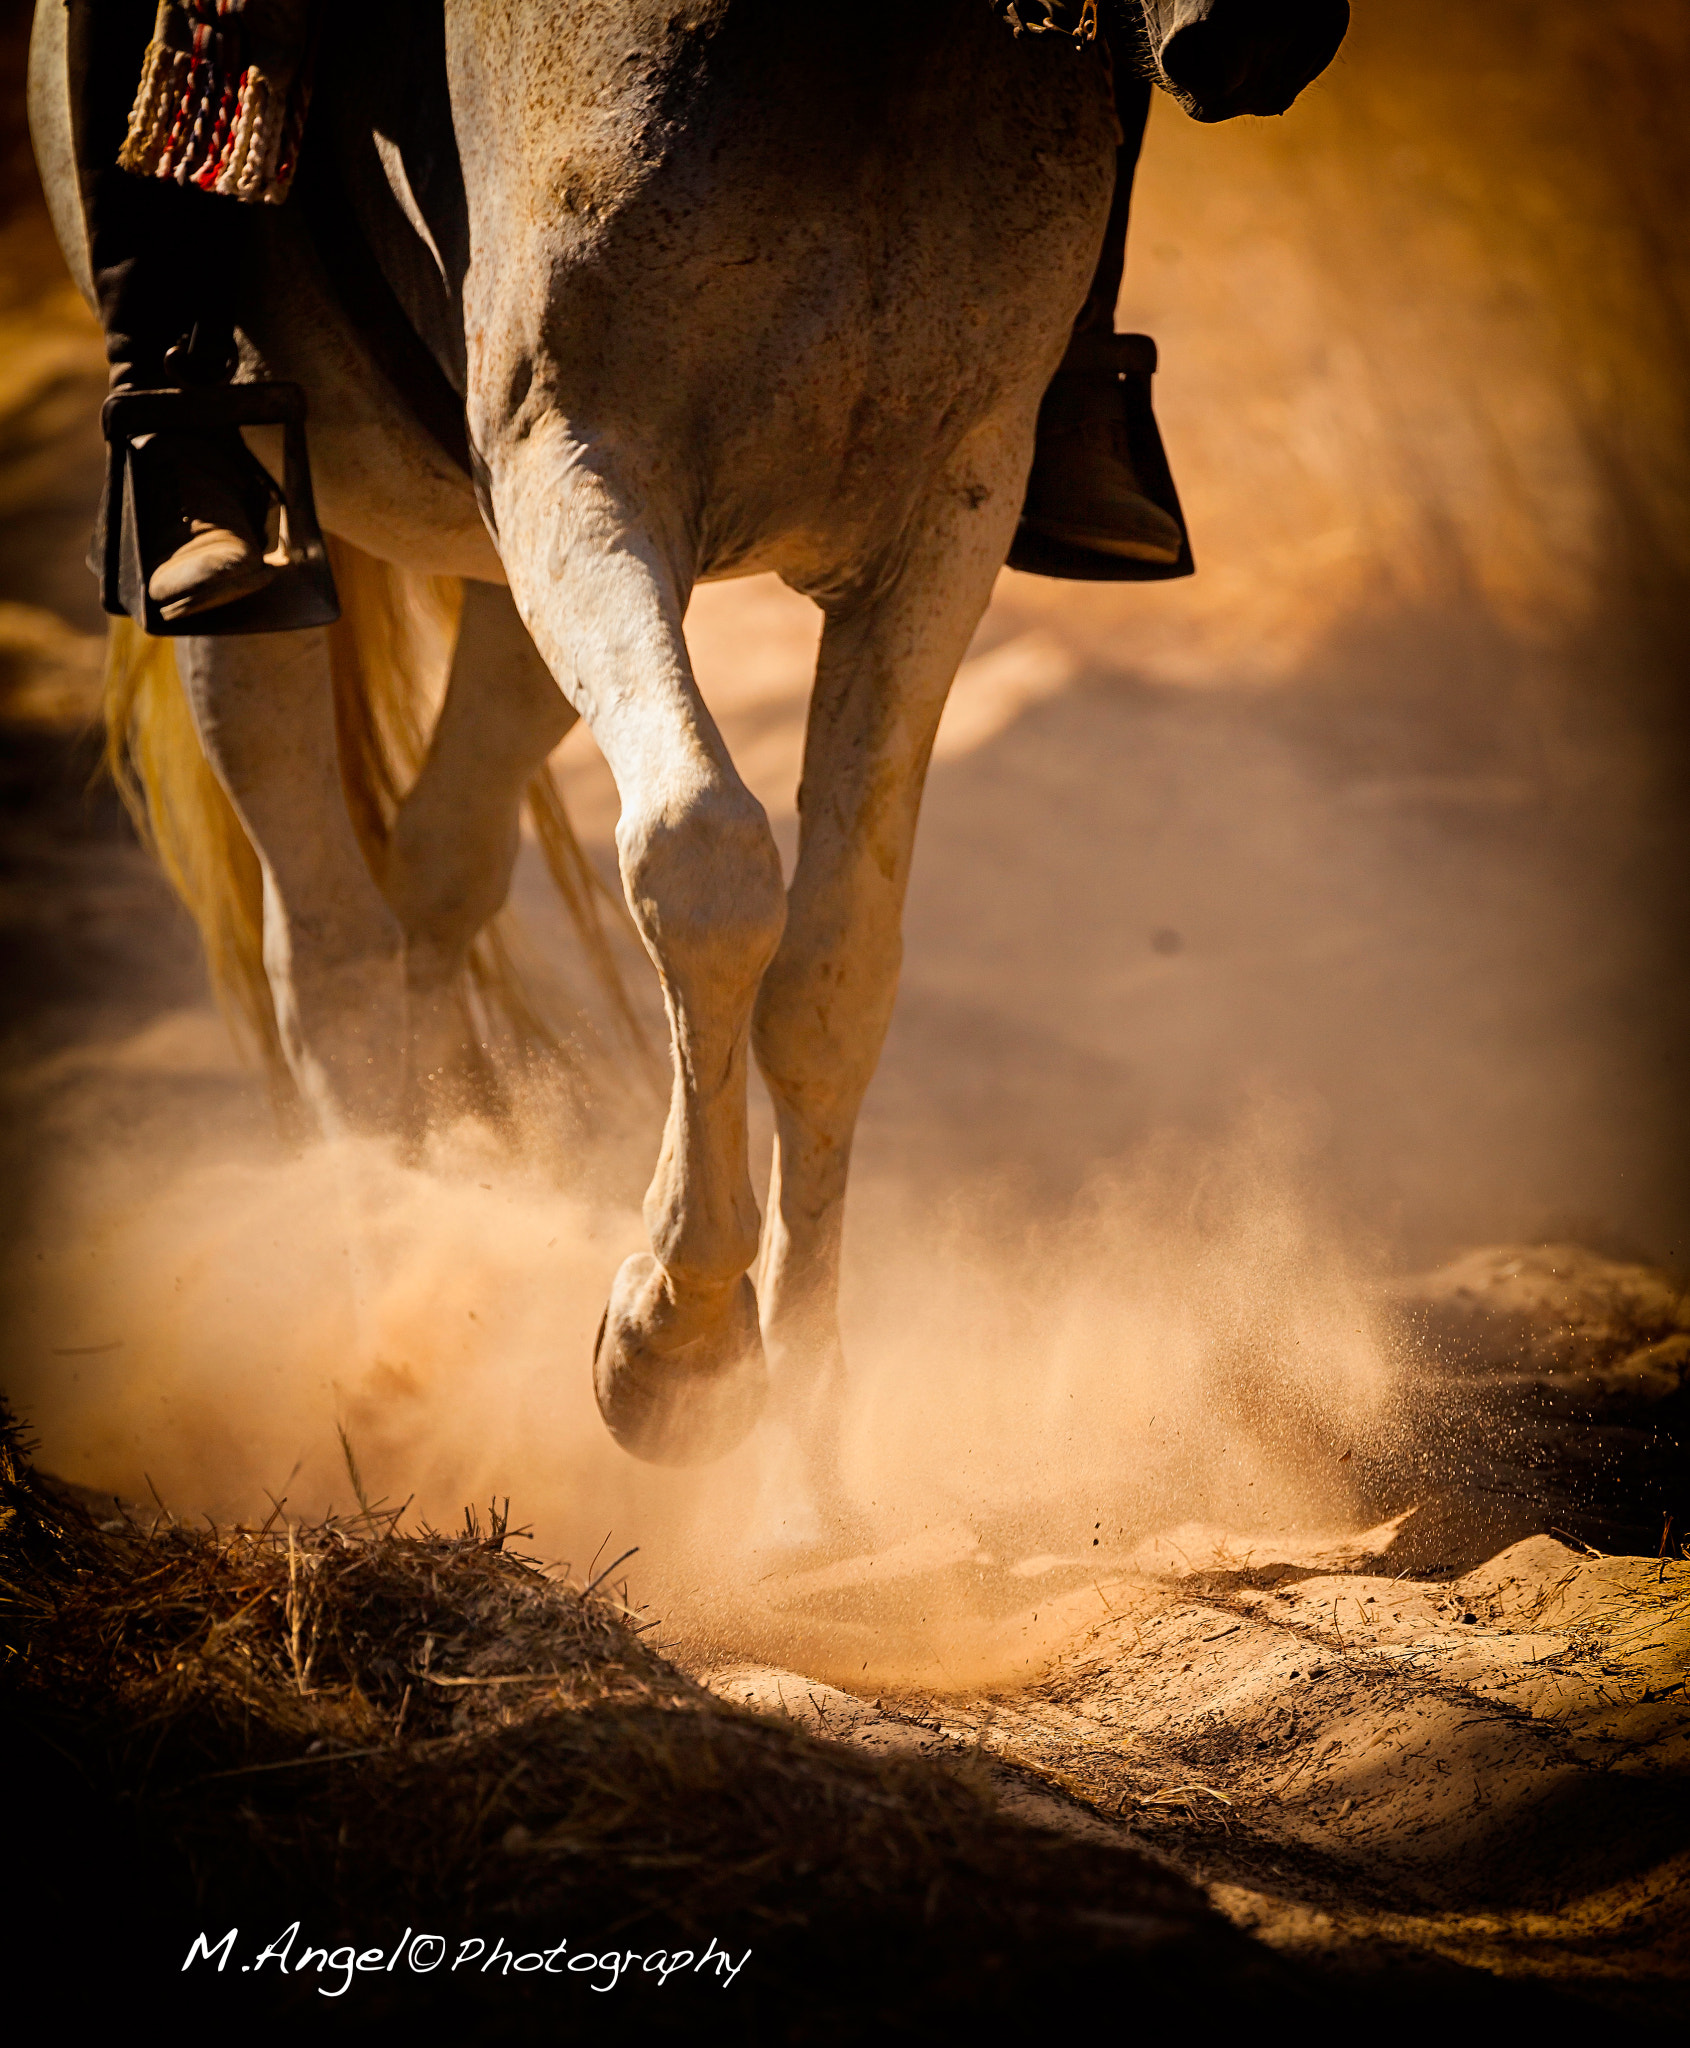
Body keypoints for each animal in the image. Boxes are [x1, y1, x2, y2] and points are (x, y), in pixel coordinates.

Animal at [30, 0, 1349, 1469]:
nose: (1257, 40)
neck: (859, 70)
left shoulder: (942, 523)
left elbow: (837, 975)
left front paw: (811, 1426)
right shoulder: (579, 465)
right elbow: (704, 862)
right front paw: (679, 1346)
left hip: (504, 591)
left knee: (434, 878)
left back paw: (461, 1213)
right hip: (268, 576)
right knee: (326, 949)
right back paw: (391, 1354)